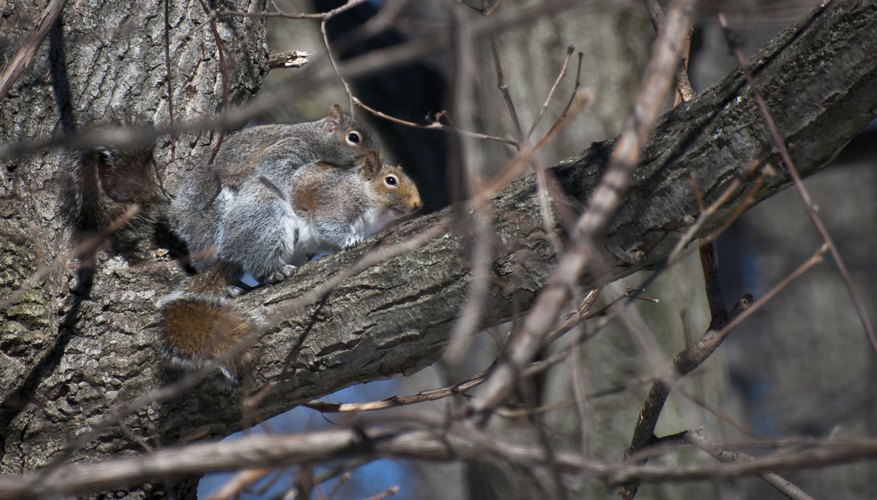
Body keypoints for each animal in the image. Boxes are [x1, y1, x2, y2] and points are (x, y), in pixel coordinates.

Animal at [160, 150, 420, 380]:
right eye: (391, 181)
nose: (418, 204)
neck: (365, 195)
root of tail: (229, 251)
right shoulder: (330, 204)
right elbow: (330, 225)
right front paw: (349, 240)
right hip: (268, 221)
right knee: (259, 264)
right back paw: (275, 272)